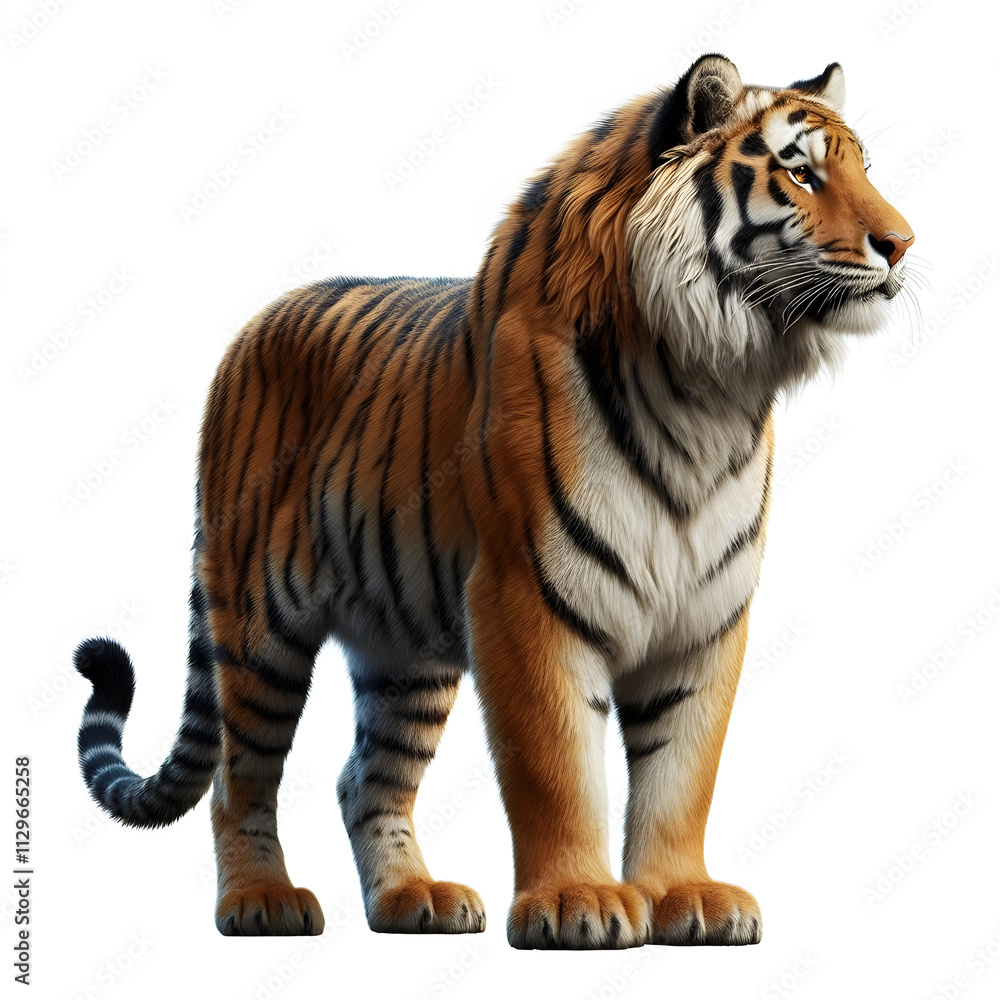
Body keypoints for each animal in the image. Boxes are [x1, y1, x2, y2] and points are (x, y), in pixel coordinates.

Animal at [74, 54, 913, 949]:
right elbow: (557, 768)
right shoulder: (526, 598)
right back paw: (262, 901)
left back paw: (414, 899)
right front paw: (577, 902)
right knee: (241, 776)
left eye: (864, 169)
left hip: (404, 653)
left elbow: (683, 773)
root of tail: (252, 326)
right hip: (259, 626)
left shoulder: (706, 617)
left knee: (365, 777)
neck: (709, 390)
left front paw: (685, 896)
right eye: (800, 172)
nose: (903, 243)